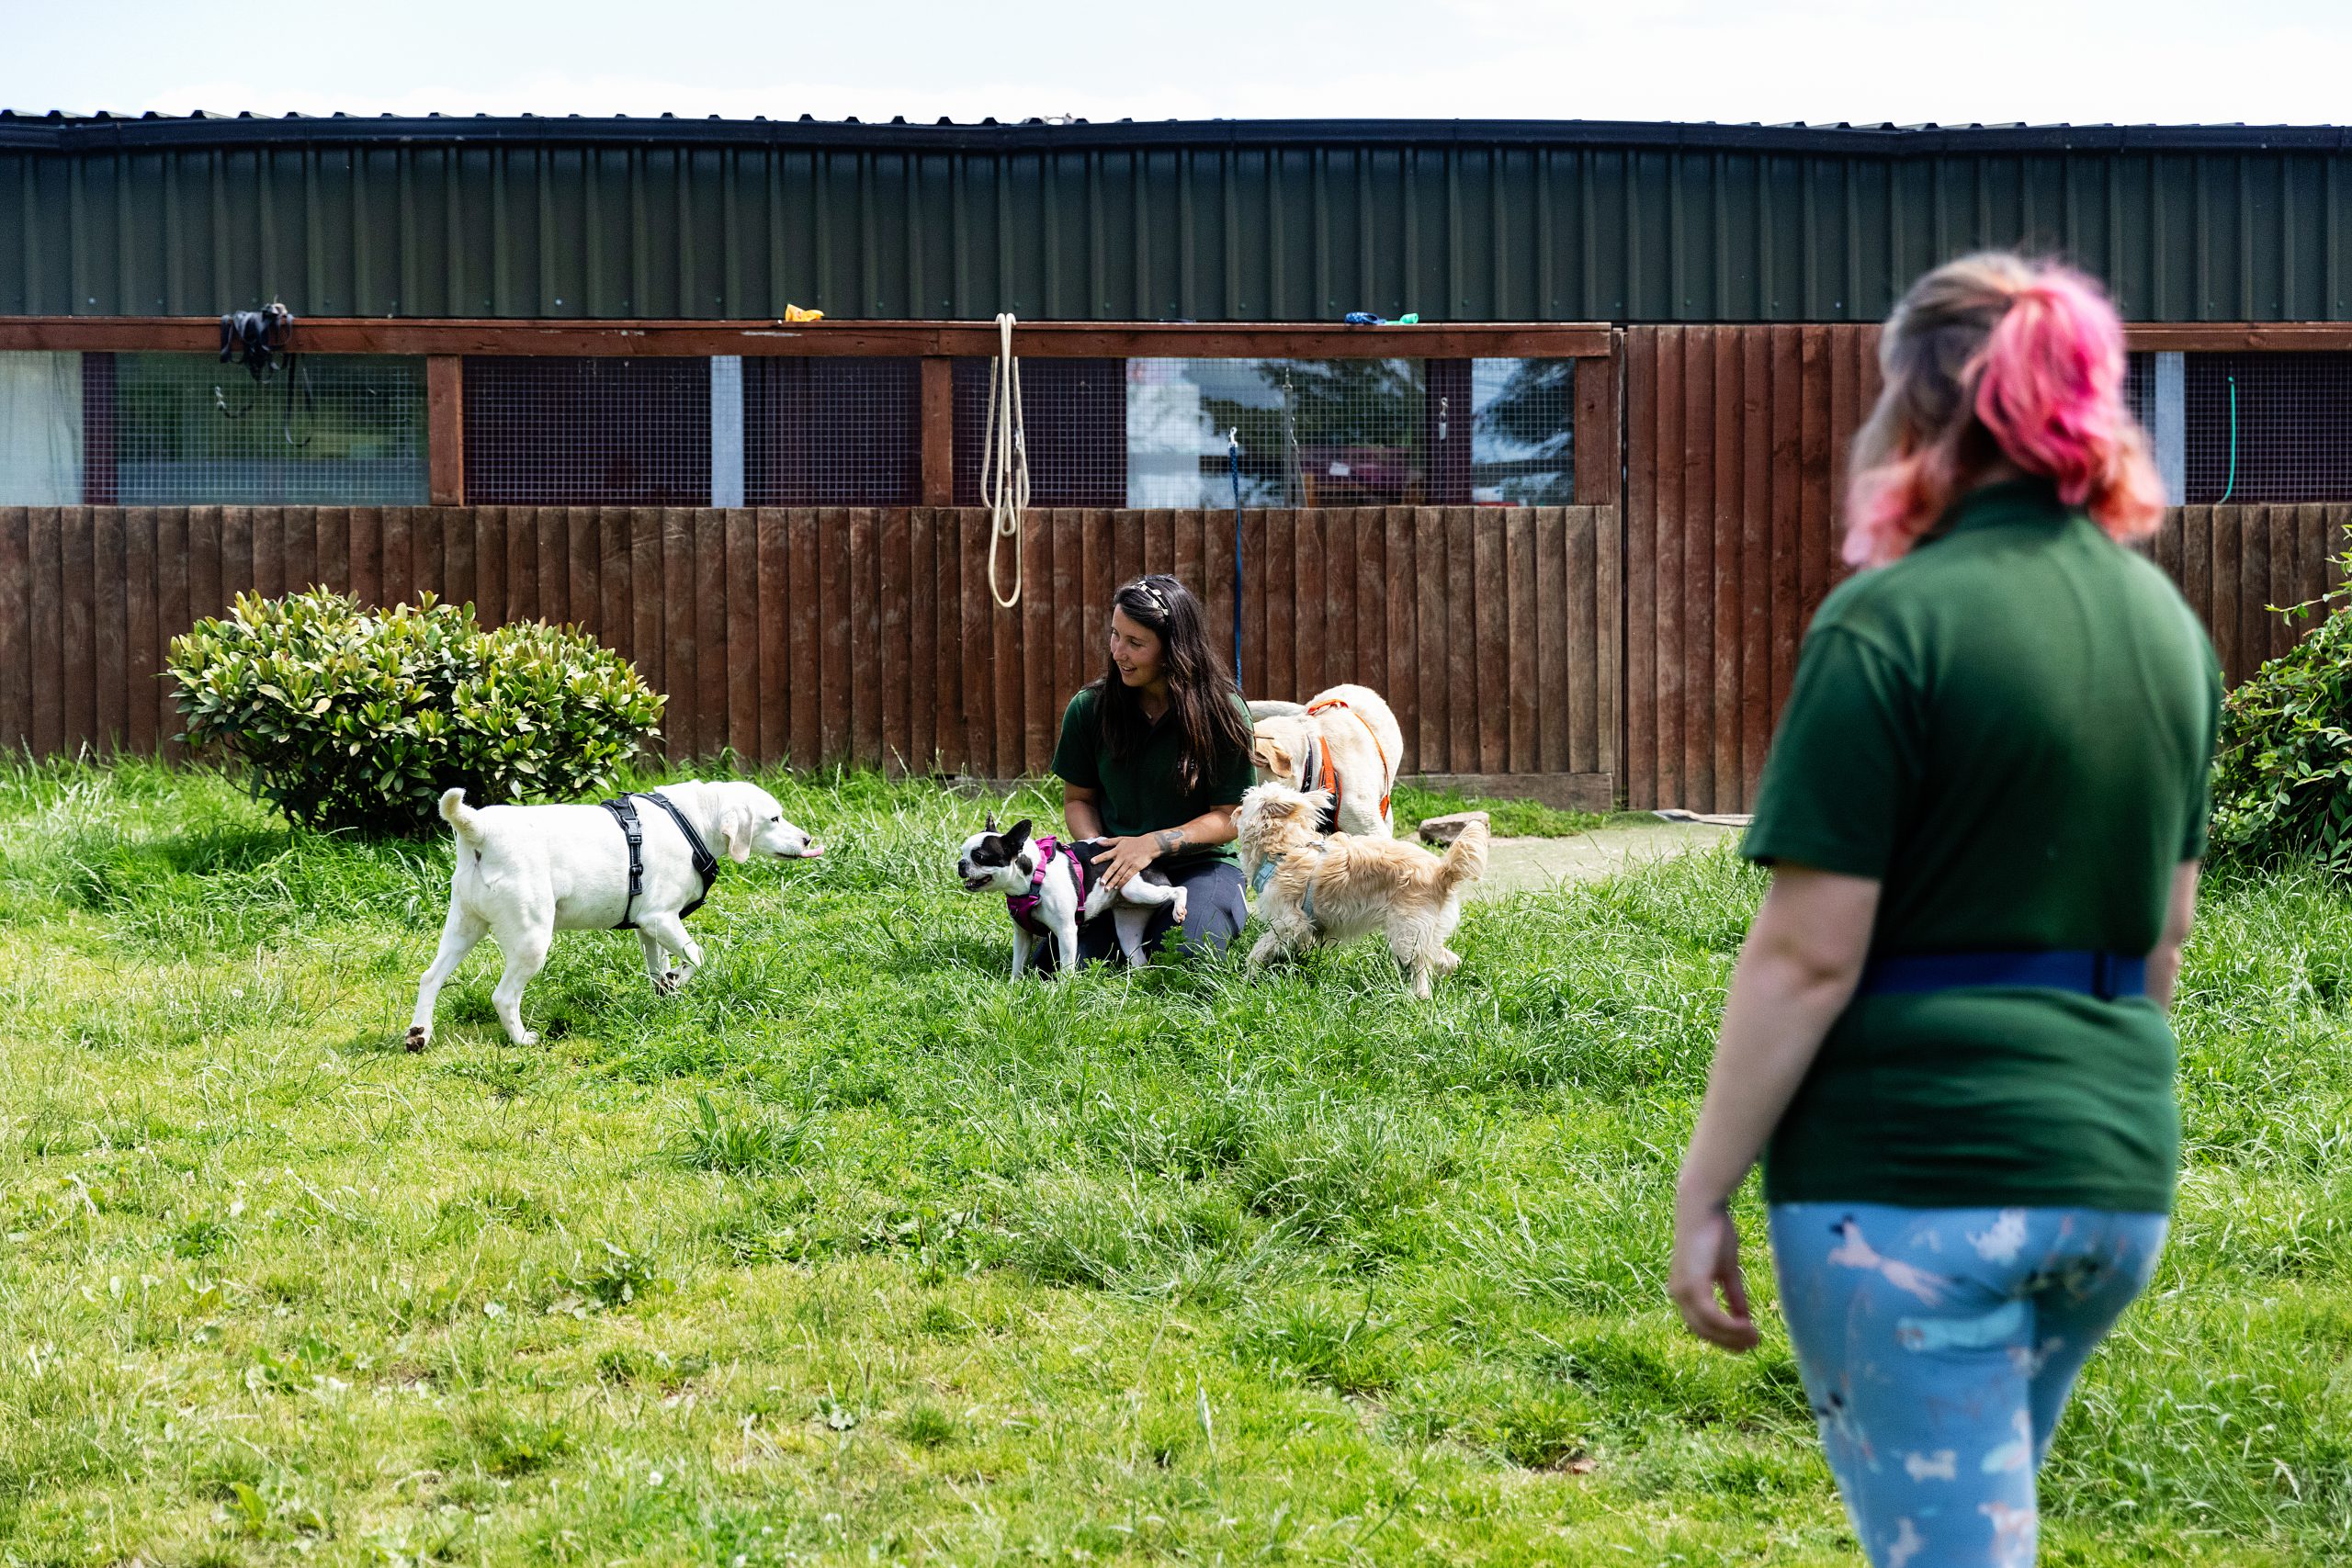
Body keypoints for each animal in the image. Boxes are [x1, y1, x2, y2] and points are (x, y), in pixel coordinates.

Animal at [413, 780, 828, 1048]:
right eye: (774, 819)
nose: (808, 840)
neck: (693, 819)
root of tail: (479, 830)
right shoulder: (662, 919)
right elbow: (697, 956)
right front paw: (678, 980)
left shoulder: (649, 927)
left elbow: (660, 967)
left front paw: (667, 991)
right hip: (531, 941)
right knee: (503, 997)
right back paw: (521, 1040)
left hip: (464, 930)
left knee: (429, 977)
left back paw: (418, 1034)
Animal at [950, 822, 1185, 982]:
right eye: (962, 852)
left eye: (979, 857)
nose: (961, 864)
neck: (1034, 877)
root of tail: (1152, 861)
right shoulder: (1022, 935)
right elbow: (1018, 963)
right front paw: (1013, 985)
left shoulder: (1066, 932)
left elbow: (1066, 967)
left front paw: (1062, 991)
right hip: (1128, 924)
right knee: (1137, 957)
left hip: (1136, 888)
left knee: (1178, 889)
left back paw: (1179, 908)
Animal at [1232, 780, 1486, 1001]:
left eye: (1243, 804)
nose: (1233, 811)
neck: (1282, 849)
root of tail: (1442, 871)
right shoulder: (1302, 928)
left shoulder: (1290, 921)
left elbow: (1259, 949)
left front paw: (1247, 978)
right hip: (1421, 932)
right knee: (1448, 959)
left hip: (1406, 933)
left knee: (1422, 967)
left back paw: (1418, 998)